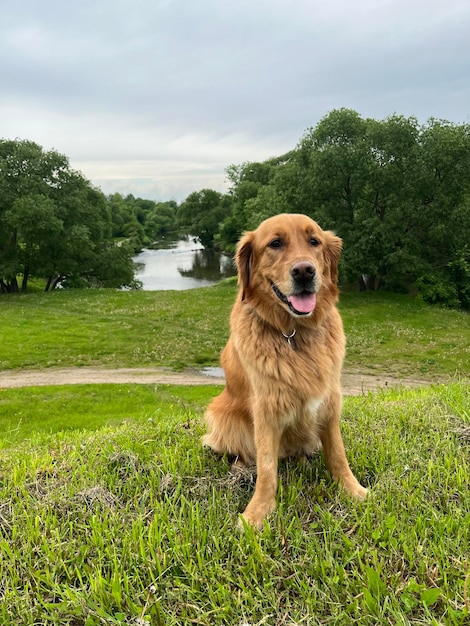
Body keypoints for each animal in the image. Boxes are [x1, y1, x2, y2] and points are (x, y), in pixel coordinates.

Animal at [202, 213, 368, 528]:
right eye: (275, 244)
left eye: (314, 241)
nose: (304, 271)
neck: (293, 334)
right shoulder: (266, 410)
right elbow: (267, 468)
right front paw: (258, 512)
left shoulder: (330, 401)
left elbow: (338, 453)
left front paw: (353, 489)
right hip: (221, 415)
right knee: (242, 452)